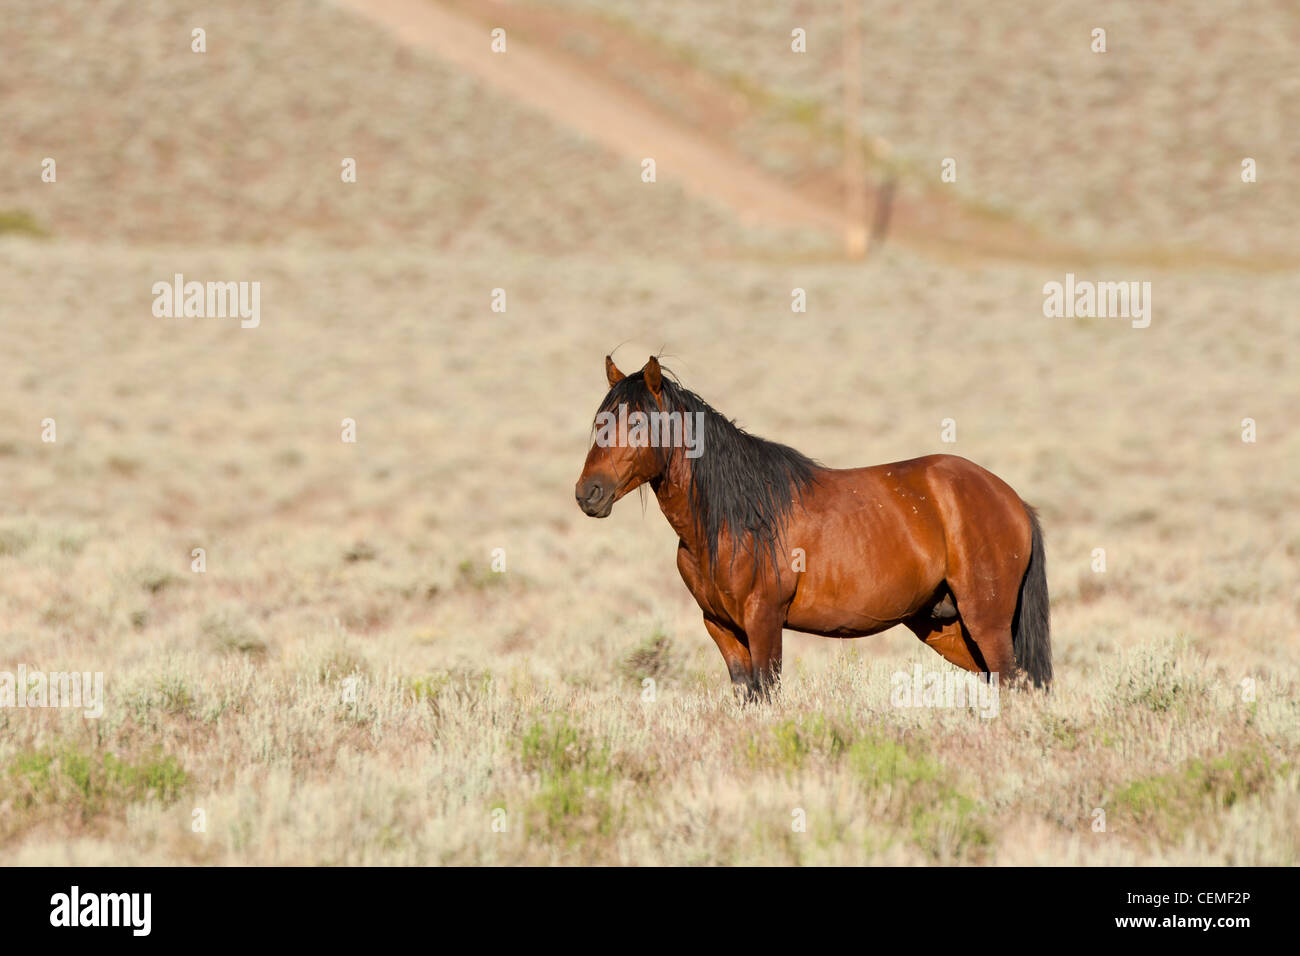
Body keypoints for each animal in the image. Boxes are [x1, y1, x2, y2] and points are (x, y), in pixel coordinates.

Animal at [574, 356, 1050, 697]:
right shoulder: (722, 628)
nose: (587, 493)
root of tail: (1011, 499)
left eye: (639, 422)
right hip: (946, 627)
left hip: (985, 622)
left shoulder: (764, 621)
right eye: (599, 421)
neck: (733, 519)